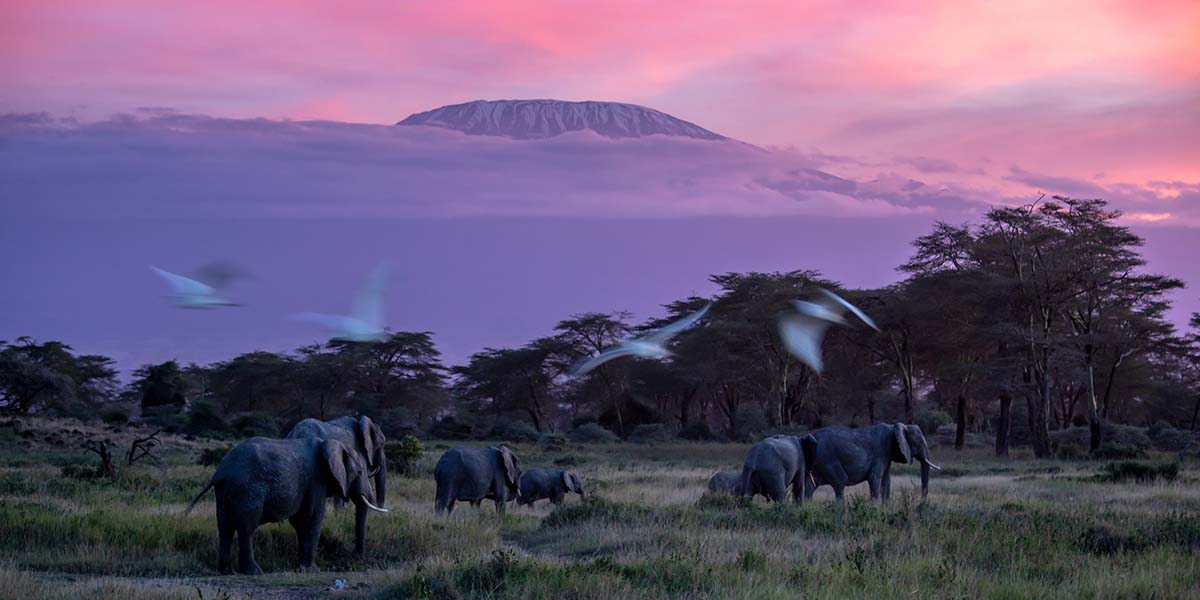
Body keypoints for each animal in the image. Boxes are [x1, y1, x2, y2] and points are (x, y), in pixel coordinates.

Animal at [186, 436, 387, 575]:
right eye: (359, 472)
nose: (357, 559)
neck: (330, 443)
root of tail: (221, 472)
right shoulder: (316, 479)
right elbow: (313, 517)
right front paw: (312, 570)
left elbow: (300, 521)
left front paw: (301, 567)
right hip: (247, 490)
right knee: (246, 529)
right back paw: (254, 571)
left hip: (224, 492)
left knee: (224, 528)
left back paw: (227, 571)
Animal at [803, 422, 941, 501]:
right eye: (918, 442)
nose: (919, 508)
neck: (894, 427)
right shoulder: (881, 451)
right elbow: (875, 478)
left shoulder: (887, 455)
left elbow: (886, 481)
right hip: (827, 460)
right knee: (840, 482)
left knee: (810, 486)